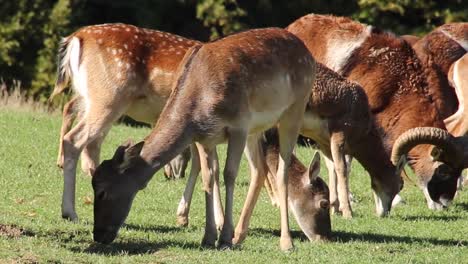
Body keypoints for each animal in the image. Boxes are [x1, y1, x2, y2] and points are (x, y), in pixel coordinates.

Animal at [90, 27, 318, 251]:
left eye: (102, 191)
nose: (98, 235)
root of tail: (306, 51)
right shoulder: (205, 138)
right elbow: (208, 177)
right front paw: (208, 238)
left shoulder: (239, 124)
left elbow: (229, 174)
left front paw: (224, 238)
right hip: (257, 128)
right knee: (259, 170)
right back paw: (240, 236)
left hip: (295, 109)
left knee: (282, 172)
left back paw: (286, 242)